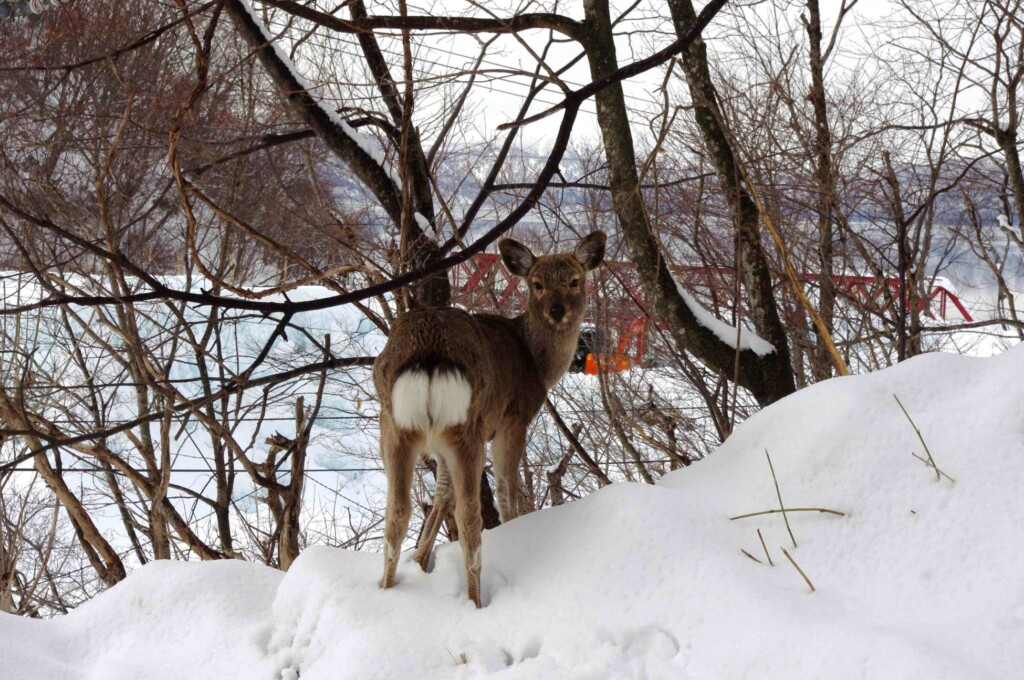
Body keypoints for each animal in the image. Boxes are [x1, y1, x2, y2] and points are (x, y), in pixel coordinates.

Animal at [372, 231, 602, 606]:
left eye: (574, 280)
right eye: (537, 284)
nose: (557, 311)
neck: (537, 365)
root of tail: (428, 352)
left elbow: (441, 493)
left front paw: (420, 560)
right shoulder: (513, 418)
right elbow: (507, 489)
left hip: (393, 425)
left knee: (397, 513)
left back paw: (386, 588)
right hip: (468, 425)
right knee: (469, 516)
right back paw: (475, 601)